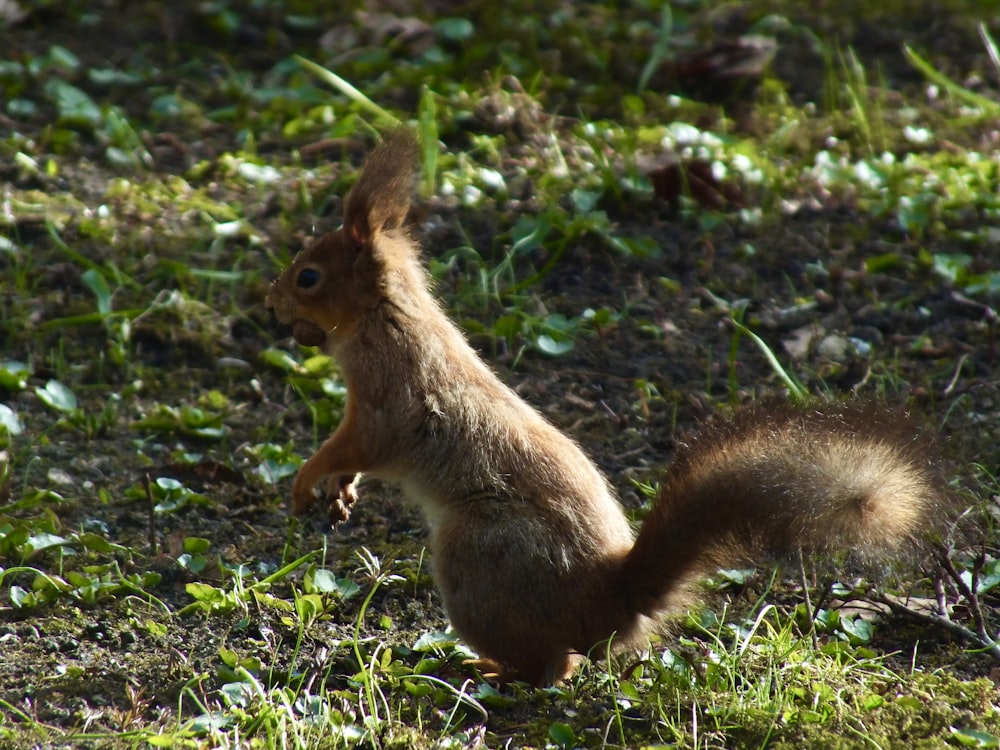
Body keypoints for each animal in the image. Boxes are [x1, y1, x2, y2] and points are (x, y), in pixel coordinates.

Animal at [264, 131, 944, 688]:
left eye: (308, 276)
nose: (270, 305)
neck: (386, 313)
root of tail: (606, 600)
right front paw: (342, 492)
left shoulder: (384, 397)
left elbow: (355, 443)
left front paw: (307, 480)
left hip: (476, 557)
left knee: (550, 666)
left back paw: (486, 668)